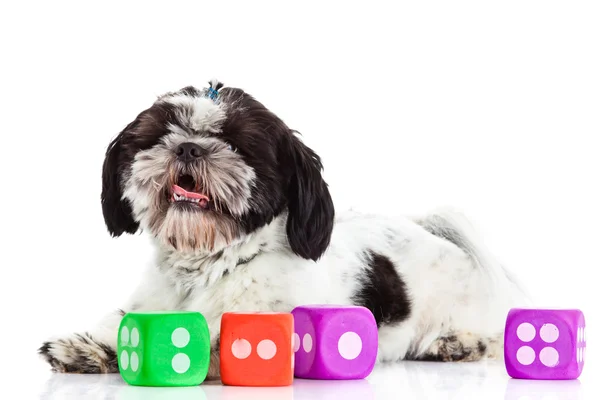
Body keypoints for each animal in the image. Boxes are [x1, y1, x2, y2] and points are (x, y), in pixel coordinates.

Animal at [38, 80, 524, 376]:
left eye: (236, 144)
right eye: (163, 133)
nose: (189, 147)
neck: (208, 267)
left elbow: (216, 346)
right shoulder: (149, 304)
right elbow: (122, 324)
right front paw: (87, 347)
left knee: (491, 337)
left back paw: (460, 343)